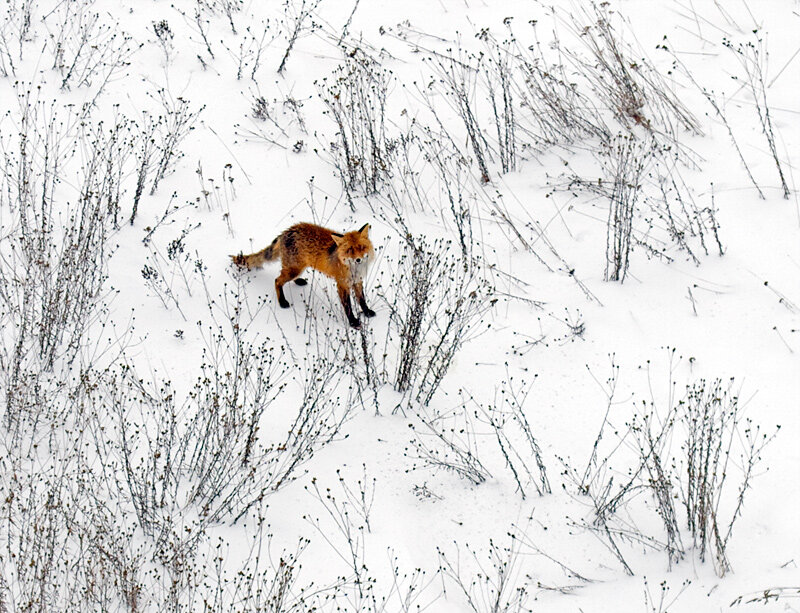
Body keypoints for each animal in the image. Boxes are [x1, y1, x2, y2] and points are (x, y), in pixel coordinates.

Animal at [231, 222, 376, 328]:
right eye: (350, 250)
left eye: (361, 247)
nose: (359, 260)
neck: (354, 269)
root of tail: (286, 232)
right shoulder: (342, 285)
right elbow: (348, 307)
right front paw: (353, 322)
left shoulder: (357, 281)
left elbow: (362, 300)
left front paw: (367, 312)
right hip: (294, 269)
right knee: (277, 280)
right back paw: (282, 301)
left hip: (296, 268)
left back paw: (298, 281)